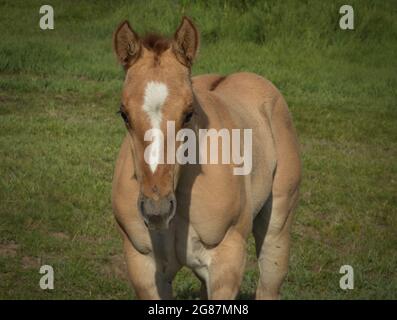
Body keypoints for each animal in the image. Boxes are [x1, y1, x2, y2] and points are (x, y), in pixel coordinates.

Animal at [111, 16, 300, 298]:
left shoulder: (226, 264)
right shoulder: (143, 265)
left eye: (189, 113)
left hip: (278, 227)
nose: (157, 210)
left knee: (269, 283)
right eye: (124, 114)